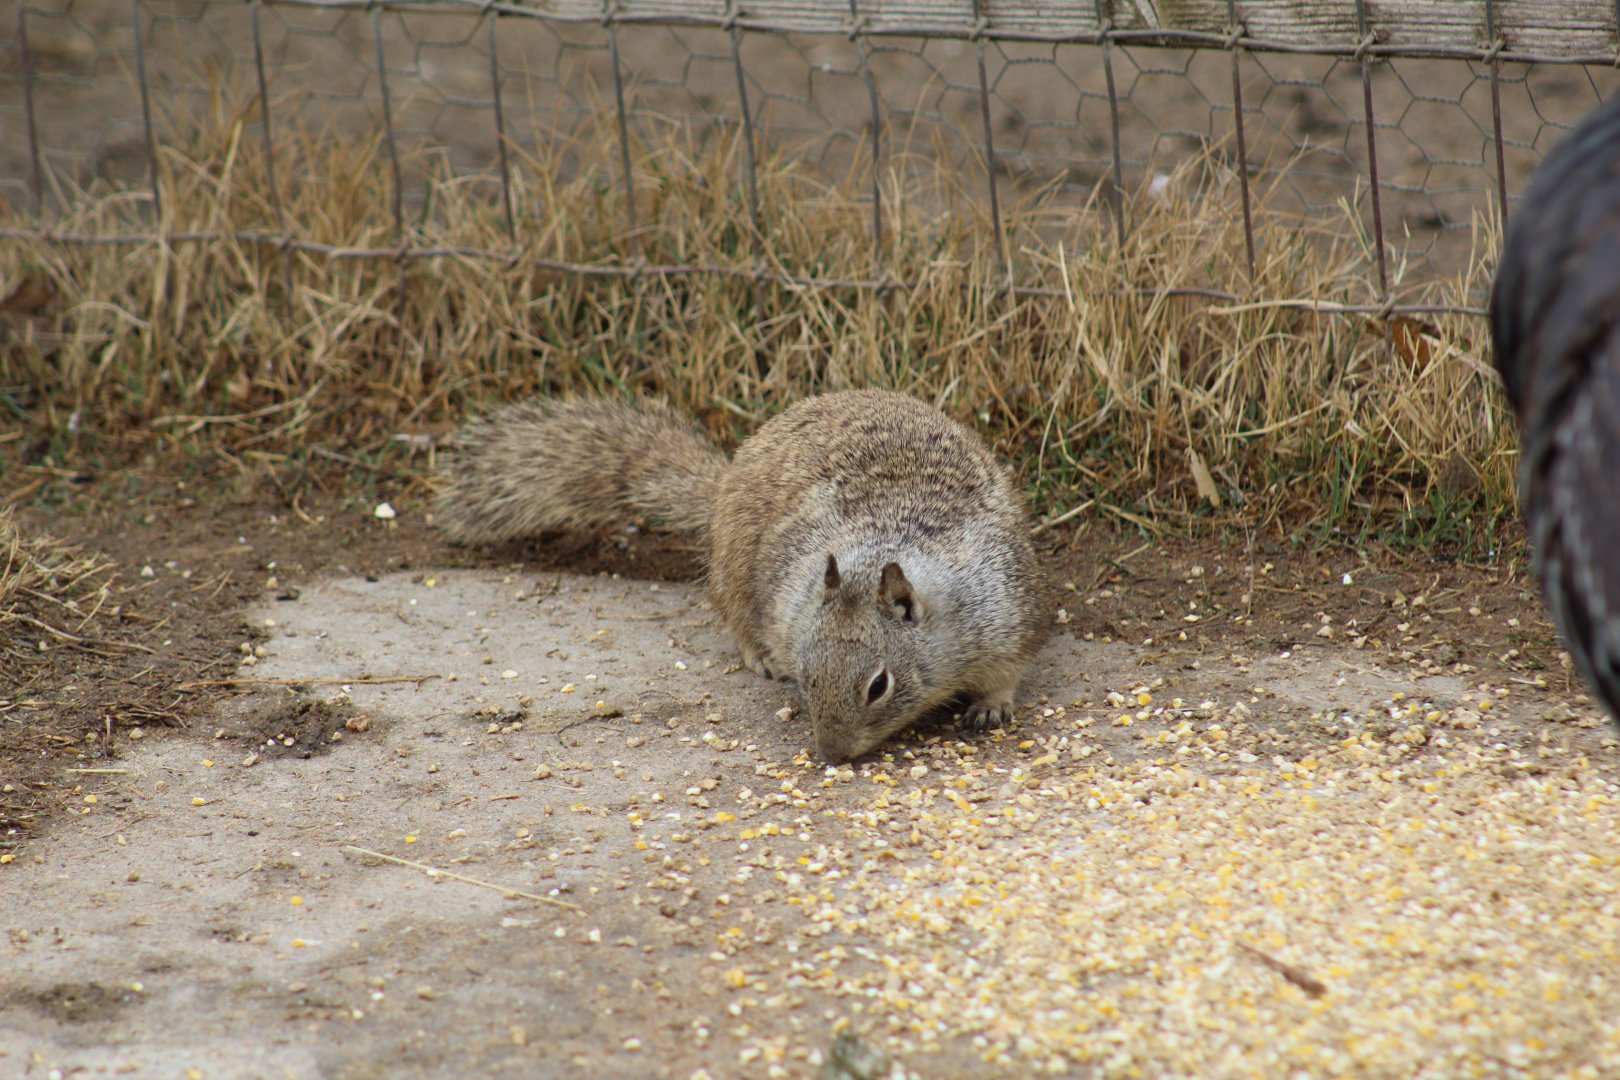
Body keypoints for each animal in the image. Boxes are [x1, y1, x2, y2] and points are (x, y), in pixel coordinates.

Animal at [435, 390, 1047, 762]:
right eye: (808, 676)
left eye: (879, 685)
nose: (832, 754)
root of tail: (728, 475)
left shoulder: (1004, 614)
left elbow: (1006, 672)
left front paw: (990, 706)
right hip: (734, 572)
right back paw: (760, 657)